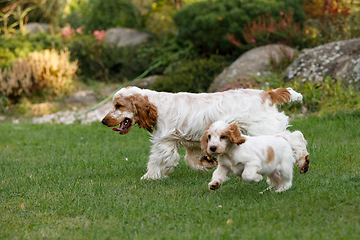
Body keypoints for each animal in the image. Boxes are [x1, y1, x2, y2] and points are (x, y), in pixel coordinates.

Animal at [101, 86, 304, 180]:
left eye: (118, 106)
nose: (103, 121)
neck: (156, 106)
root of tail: (267, 94)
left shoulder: (164, 143)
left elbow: (156, 161)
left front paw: (148, 177)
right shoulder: (192, 143)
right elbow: (192, 160)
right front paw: (208, 163)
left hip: (265, 129)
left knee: (295, 138)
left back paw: (304, 162)